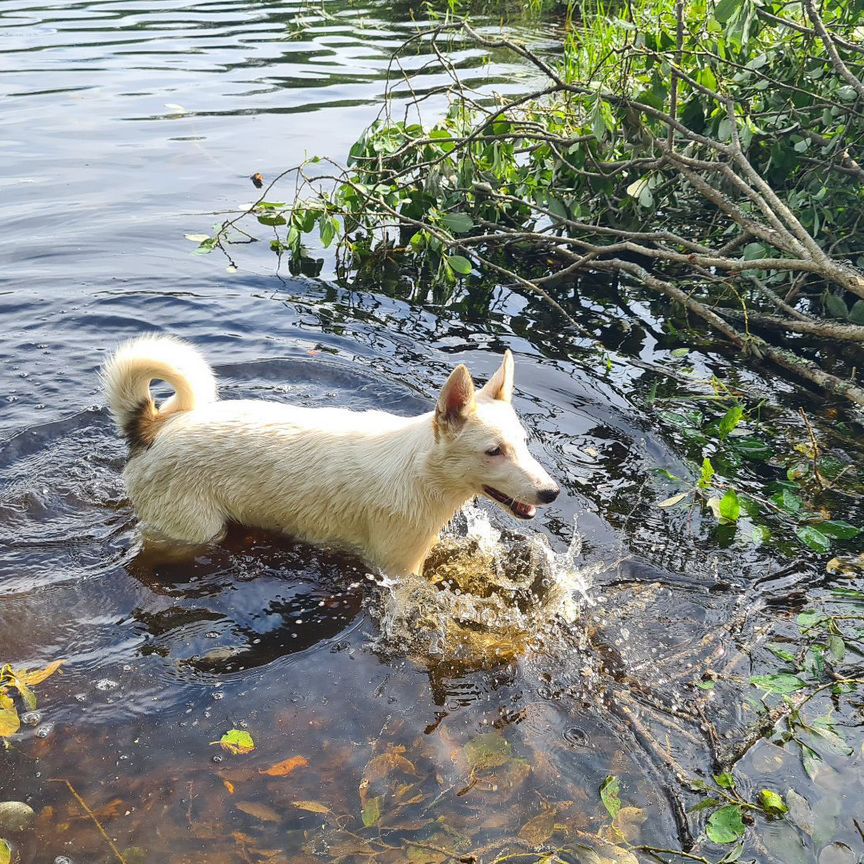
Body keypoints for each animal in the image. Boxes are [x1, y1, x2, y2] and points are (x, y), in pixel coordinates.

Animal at [101, 336, 560, 572]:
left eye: (523, 443)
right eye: (493, 451)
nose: (551, 492)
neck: (420, 473)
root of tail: (152, 429)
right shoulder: (397, 572)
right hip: (194, 531)